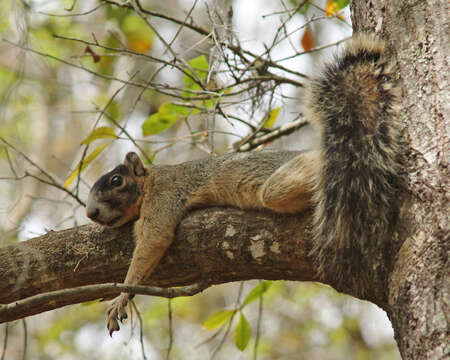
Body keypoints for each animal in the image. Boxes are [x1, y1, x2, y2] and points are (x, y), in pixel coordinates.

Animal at [85, 34, 404, 334]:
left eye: (116, 180)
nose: (91, 213)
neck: (150, 182)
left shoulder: (165, 197)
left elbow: (153, 241)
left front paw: (121, 297)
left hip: (284, 184)